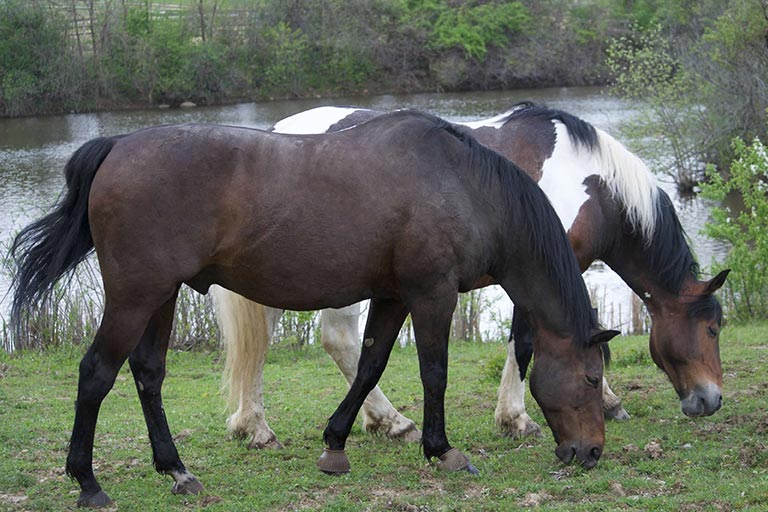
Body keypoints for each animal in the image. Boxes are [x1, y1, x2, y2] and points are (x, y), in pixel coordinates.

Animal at [9, 110, 616, 506]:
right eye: (591, 379)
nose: (590, 454)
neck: (463, 185)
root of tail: (117, 145)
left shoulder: (392, 294)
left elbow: (371, 365)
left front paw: (336, 444)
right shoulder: (431, 294)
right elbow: (434, 372)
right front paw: (441, 449)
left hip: (161, 296)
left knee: (147, 373)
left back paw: (176, 471)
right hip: (135, 296)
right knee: (96, 373)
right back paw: (88, 483)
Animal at [214, 102, 728, 450]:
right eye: (711, 328)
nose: (710, 401)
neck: (590, 182)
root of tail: (279, 132)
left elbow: (591, 336)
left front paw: (606, 399)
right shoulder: (539, 274)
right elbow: (528, 343)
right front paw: (515, 418)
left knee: (267, 340)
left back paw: (256, 425)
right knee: (338, 340)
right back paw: (388, 421)